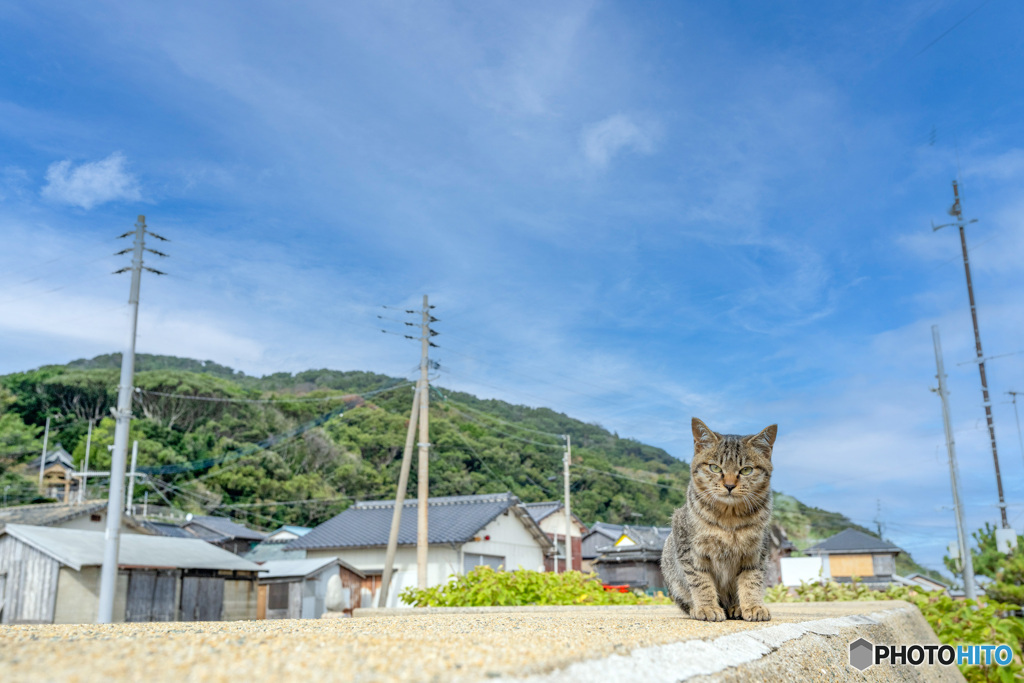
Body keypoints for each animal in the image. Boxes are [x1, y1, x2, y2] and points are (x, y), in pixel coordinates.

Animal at [663, 419, 774, 622]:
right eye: (715, 468)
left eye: (746, 470)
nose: (729, 485)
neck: (729, 518)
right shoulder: (691, 552)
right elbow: (701, 582)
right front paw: (707, 607)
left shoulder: (756, 553)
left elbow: (751, 582)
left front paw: (753, 606)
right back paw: (696, 608)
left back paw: (736, 608)